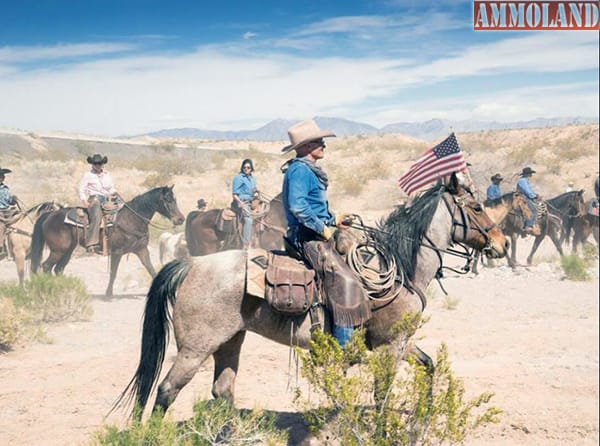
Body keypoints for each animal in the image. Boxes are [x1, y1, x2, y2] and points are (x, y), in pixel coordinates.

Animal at [111, 177, 506, 418]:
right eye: (476, 208)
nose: (501, 244)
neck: (402, 270)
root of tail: (191, 264)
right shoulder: (391, 346)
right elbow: (381, 396)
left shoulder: (399, 342)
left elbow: (429, 366)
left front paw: (424, 411)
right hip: (195, 349)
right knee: (165, 391)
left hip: (229, 341)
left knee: (222, 392)